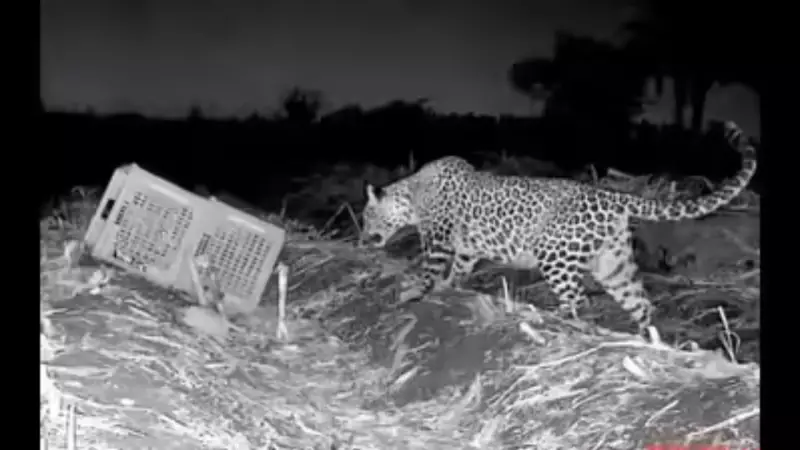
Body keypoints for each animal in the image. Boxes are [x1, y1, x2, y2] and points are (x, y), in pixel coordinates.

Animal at [359, 121, 757, 333]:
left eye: (365, 218)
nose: (362, 237)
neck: (412, 194)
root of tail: (611, 195)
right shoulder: (466, 248)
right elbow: (458, 269)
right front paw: (447, 288)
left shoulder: (438, 239)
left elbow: (430, 267)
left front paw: (416, 292)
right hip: (612, 261)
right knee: (640, 300)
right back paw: (647, 339)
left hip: (555, 253)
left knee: (577, 297)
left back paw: (552, 320)